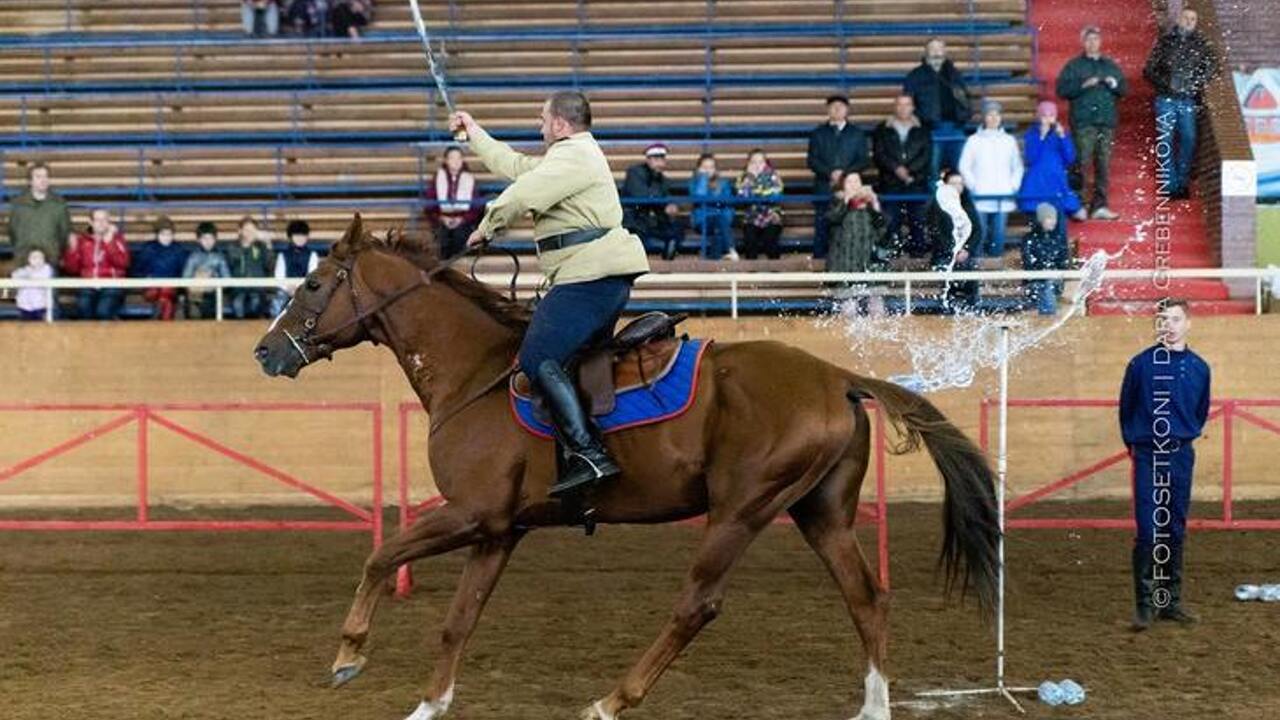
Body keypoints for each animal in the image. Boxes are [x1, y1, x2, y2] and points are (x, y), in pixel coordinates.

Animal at [252, 217, 998, 717]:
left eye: (314, 283)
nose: (266, 351)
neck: (477, 371)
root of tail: (838, 378)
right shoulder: (498, 532)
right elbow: (457, 620)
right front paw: (429, 704)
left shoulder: (470, 515)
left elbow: (381, 557)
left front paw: (348, 654)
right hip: (820, 512)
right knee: (865, 598)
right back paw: (873, 705)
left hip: (741, 509)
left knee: (698, 605)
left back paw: (612, 699)